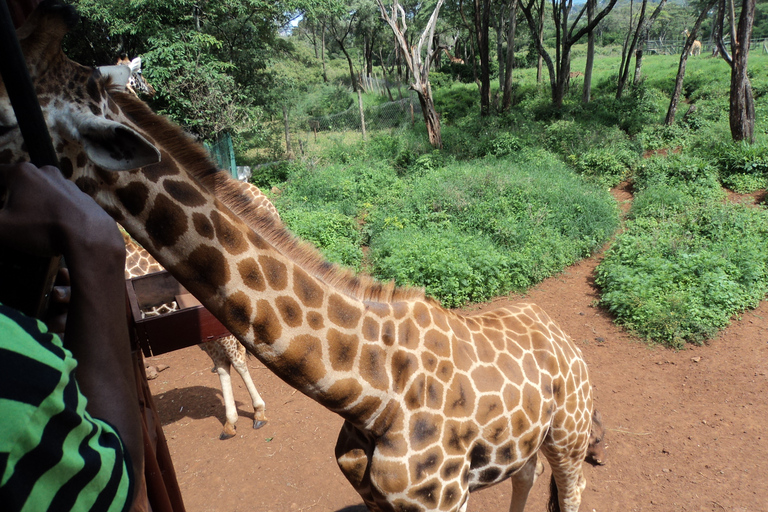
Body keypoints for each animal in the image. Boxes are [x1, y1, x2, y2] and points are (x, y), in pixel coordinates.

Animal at [0, 5, 600, 512]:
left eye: (8, 118)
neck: (371, 393)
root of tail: (564, 340)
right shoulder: (377, 497)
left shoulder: (443, 499)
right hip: (528, 444)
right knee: (527, 477)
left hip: (567, 435)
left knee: (571, 488)